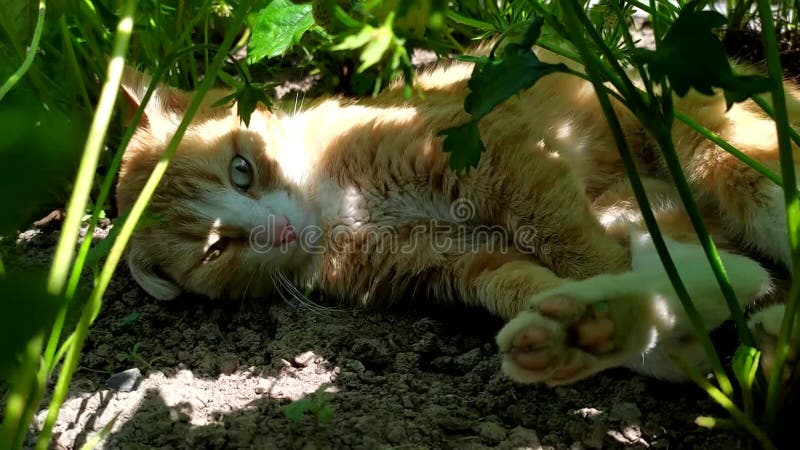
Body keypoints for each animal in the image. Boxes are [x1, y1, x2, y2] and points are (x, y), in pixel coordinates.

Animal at [115, 50, 796, 386]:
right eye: (215, 249)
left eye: (240, 169)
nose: (277, 230)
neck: (334, 206)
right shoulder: (448, 262)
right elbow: (521, 283)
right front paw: (611, 334)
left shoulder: (492, 152)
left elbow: (577, 250)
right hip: (638, 200)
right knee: (733, 266)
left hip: (720, 152)